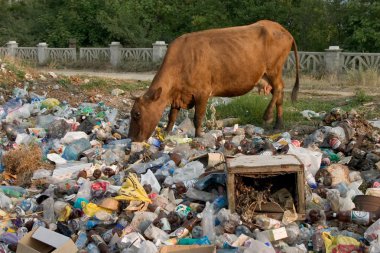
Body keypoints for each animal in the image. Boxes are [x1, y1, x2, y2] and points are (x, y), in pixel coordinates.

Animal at [127, 19, 300, 142]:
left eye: (137, 114)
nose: (131, 138)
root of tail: (283, 29)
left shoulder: (202, 92)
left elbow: (198, 117)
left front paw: (198, 135)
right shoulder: (178, 94)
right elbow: (172, 115)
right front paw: (167, 131)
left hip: (273, 69)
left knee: (279, 89)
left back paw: (268, 116)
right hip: (269, 74)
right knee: (279, 94)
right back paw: (278, 124)